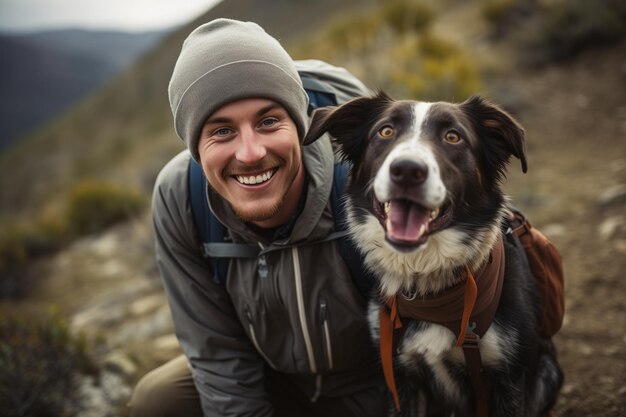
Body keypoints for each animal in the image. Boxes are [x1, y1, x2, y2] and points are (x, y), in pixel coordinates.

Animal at [302, 92, 560, 416]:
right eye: (385, 131)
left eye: (453, 136)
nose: (406, 170)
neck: (427, 287)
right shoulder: (400, 375)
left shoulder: (508, 379)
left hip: (549, 372)